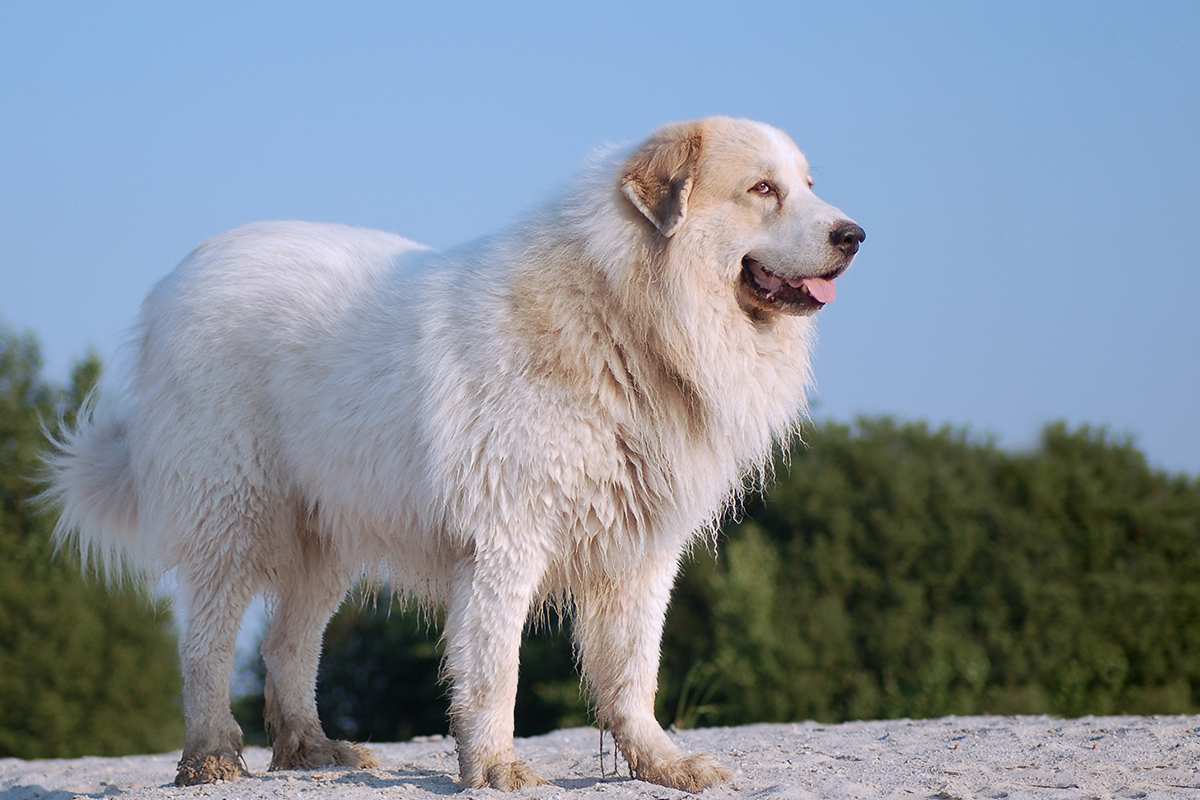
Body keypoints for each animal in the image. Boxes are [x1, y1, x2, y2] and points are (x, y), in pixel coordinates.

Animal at [46, 118, 864, 796]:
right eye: (763, 190)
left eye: (808, 185)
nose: (854, 233)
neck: (626, 320)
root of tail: (179, 278)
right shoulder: (507, 539)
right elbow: (496, 669)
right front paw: (497, 769)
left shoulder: (639, 551)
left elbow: (635, 672)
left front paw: (663, 764)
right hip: (234, 514)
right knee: (208, 645)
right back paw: (212, 756)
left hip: (327, 534)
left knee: (287, 644)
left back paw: (312, 751)